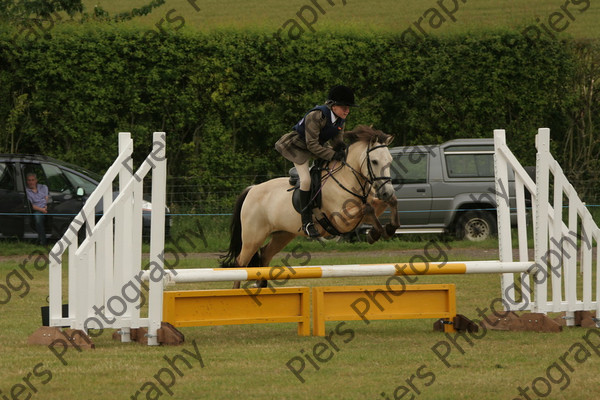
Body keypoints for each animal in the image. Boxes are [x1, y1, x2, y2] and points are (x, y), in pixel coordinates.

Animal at [219, 126, 398, 286]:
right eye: (374, 161)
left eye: (390, 161)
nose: (386, 192)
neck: (346, 178)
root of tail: (252, 189)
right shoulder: (341, 219)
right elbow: (367, 208)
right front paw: (377, 233)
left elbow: (387, 203)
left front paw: (386, 229)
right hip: (253, 237)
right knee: (240, 264)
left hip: (283, 235)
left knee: (264, 256)